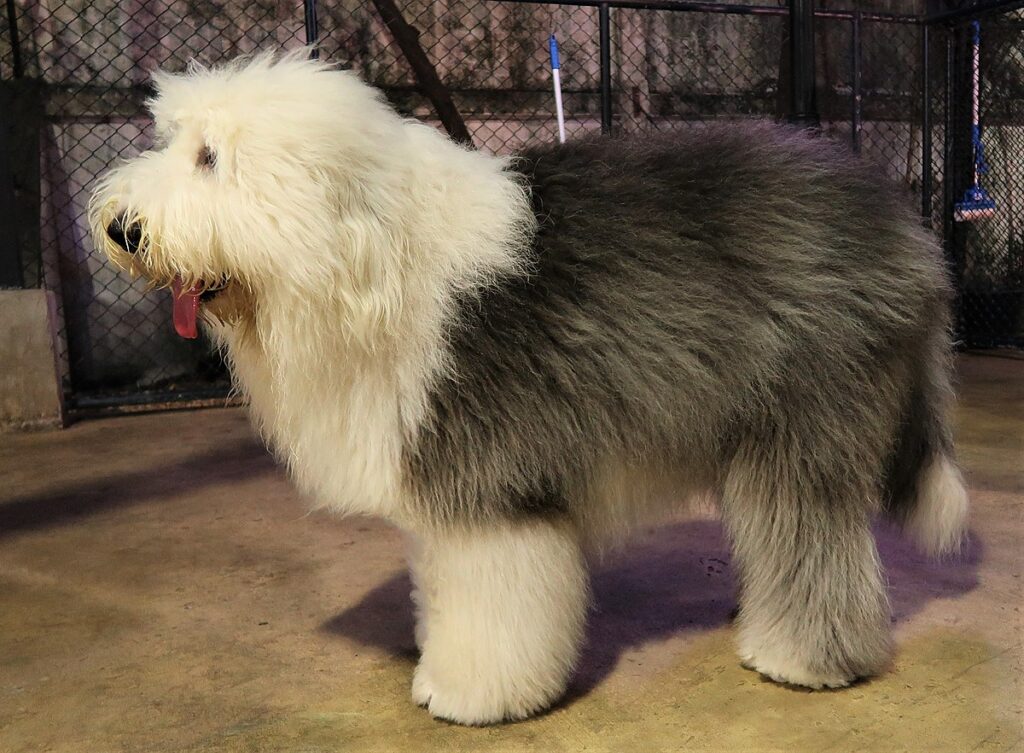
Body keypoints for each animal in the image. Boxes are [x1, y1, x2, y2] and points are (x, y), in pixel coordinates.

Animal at [90, 51, 966, 725]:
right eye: (176, 143)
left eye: (210, 157)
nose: (121, 228)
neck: (370, 259)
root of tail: (899, 221)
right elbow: (447, 583)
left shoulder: (491, 483)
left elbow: (494, 602)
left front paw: (471, 693)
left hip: (806, 418)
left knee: (814, 533)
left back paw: (803, 657)